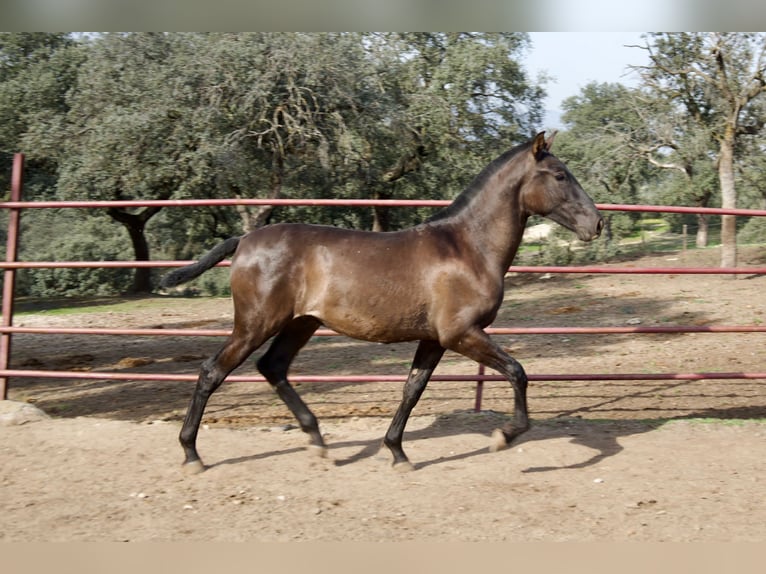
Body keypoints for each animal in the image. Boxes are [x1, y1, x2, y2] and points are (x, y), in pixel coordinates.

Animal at [162, 133, 608, 474]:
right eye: (560, 175)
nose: (598, 223)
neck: (468, 248)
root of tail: (245, 240)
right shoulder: (461, 333)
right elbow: (517, 372)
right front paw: (504, 437)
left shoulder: (435, 339)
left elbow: (412, 389)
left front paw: (396, 452)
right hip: (257, 323)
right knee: (212, 371)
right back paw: (191, 454)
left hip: (300, 323)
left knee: (273, 367)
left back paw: (318, 441)